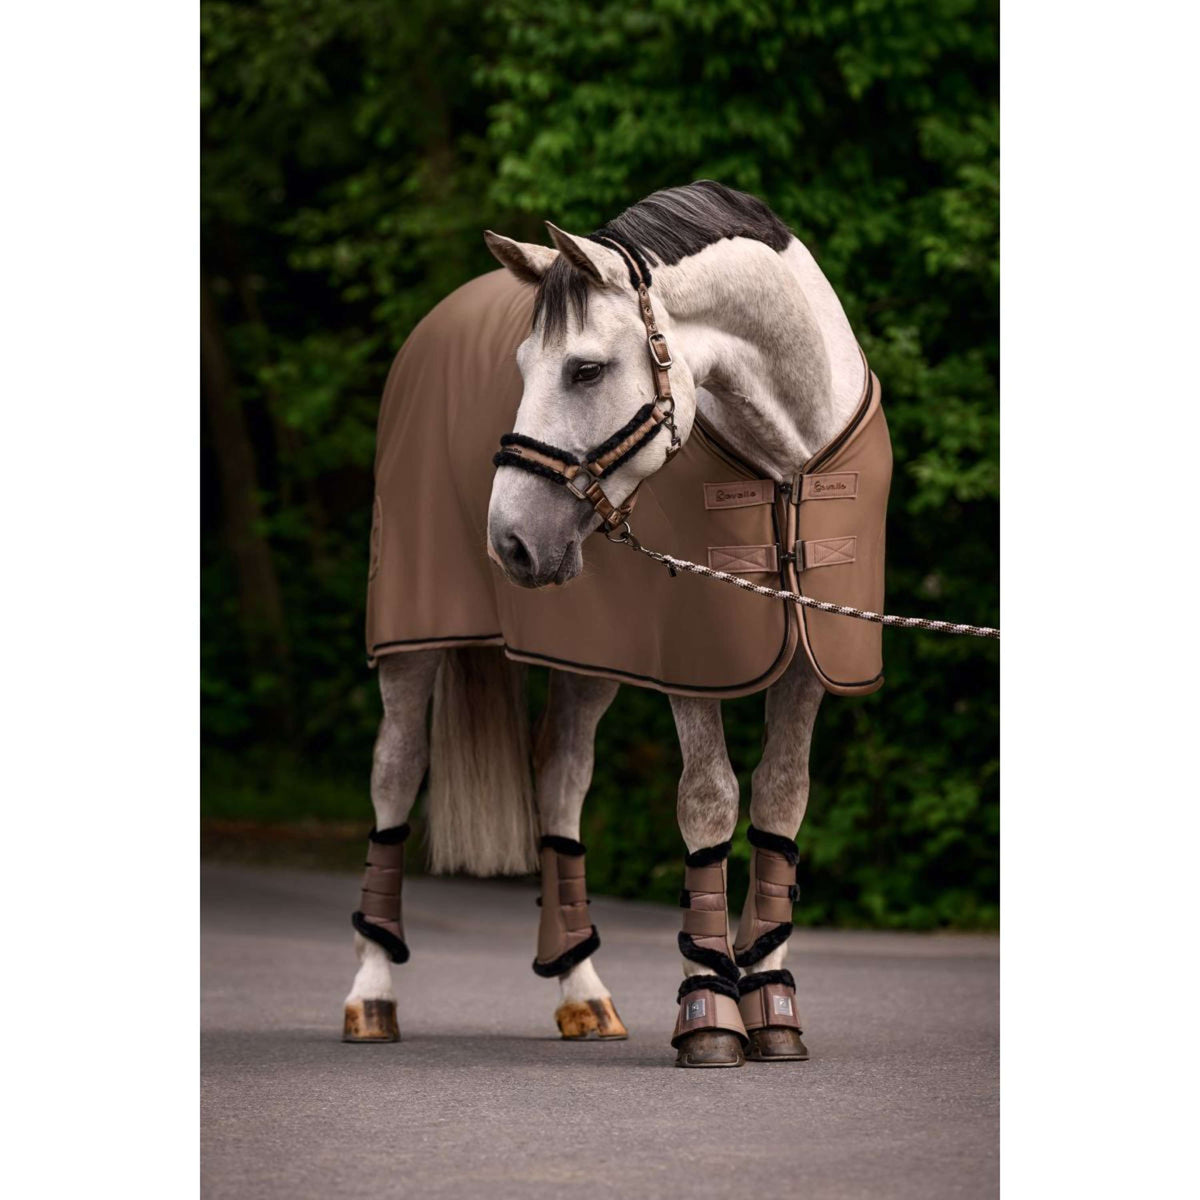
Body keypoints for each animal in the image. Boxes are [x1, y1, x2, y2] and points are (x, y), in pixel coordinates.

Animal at [343, 181, 891, 1068]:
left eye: (586, 367)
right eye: (521, 369)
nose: (509, 541)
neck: (786, 456)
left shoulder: (809, 658)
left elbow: (780, 802)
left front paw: (773, 1005)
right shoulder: (693, 666)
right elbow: (709, 801)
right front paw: (709, 1011)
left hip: (588, 663)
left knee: (560, 779)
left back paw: (582, 990)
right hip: (411, 645)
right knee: (395, 772)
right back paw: (371, 993)